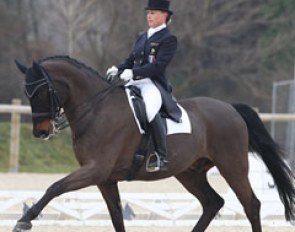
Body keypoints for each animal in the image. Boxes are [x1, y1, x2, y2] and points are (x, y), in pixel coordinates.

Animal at [13, 56, 295, 232]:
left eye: (40, 92)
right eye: (26, 93)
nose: (41, 132)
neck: (97, 109)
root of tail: (230, 108)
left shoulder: (96, 169)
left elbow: (55, 187)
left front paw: (24, 220)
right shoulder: (105, 178)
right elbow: (116, 216)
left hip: (232, 166)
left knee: (251, 205)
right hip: (190, 172)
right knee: (212, 203)